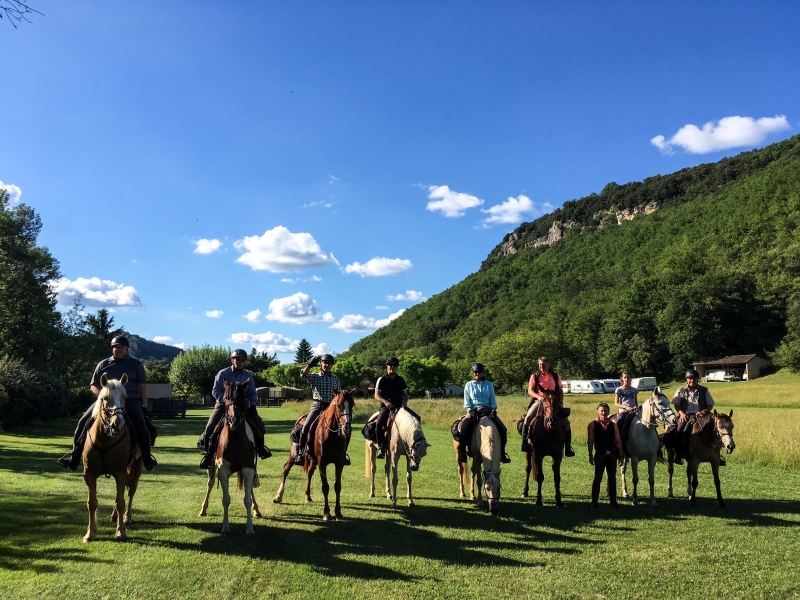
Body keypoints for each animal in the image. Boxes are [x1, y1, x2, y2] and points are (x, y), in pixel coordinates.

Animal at [83, 372, 144, 540]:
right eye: (105, 398)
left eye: (124, 397)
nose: (118, 424)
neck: (105, 440)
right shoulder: (89, 473)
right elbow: (92, 502)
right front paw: (90, 533)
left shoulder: (120, 473)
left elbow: (121, 501)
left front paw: (120, 531)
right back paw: (115, 516)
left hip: (137, 467)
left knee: (131, 491)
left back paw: (127, 517)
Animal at [214, 380, 258, 536]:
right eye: (226, 399)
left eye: (242, 399)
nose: (234, 420)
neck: (235, 442)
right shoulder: (222, 471)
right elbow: (226, 499)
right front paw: (225, 526)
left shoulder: (248, 470)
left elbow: (247, 500)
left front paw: (250, 528)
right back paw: (203, 509)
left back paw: (256, 510)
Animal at [274, 390, 354, 520]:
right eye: (339, 405)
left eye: (352, 405)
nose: (346, 428)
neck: (331, 435)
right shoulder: (322, 462)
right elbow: (325, 487)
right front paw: (326, 513)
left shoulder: (339, 462)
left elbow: (337, 486)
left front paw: (338, 513)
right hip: (293, 456)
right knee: (286, 469)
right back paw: (278, 496)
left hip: (313, 460)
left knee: (310, 472)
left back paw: (307, 496)